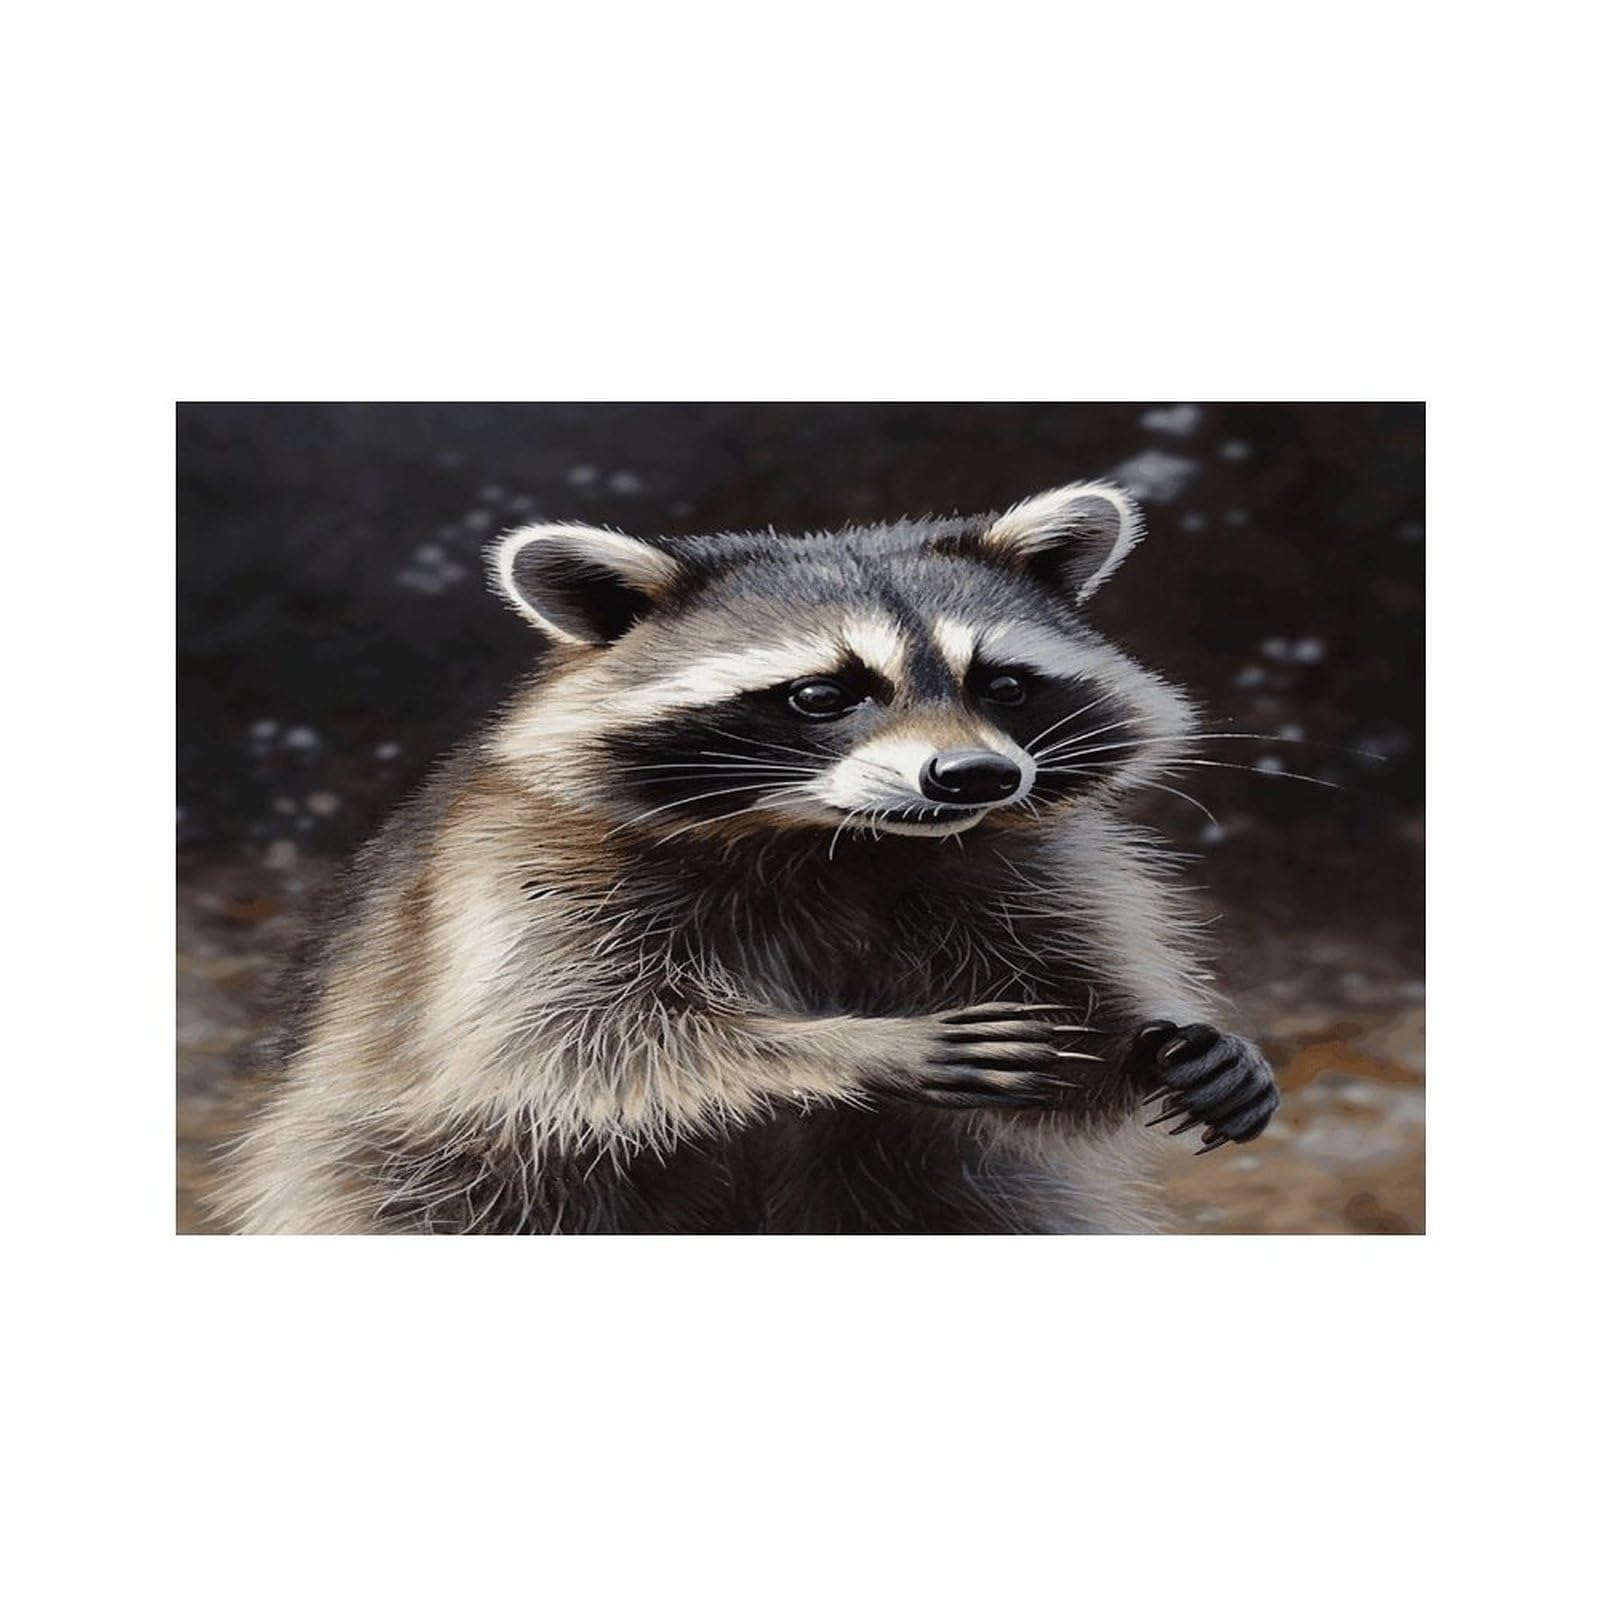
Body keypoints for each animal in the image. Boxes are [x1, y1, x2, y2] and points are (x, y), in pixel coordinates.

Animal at [215, 481, 1279, 1234]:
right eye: (822, 695)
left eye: (1004, 685)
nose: (976, 776)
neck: (836, 841)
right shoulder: (522, 873)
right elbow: (566, 1040)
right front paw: (853, 1046)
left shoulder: (1017, 868)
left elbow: (1063, 1019)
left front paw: (1159, 1045)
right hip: (411, 1178)